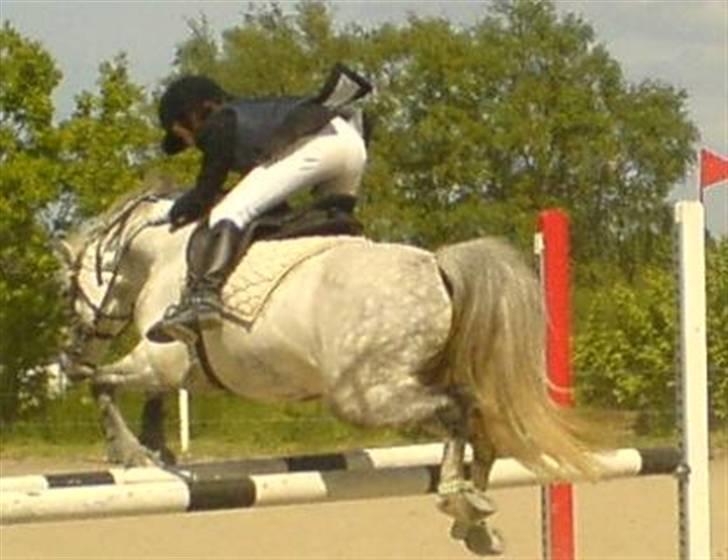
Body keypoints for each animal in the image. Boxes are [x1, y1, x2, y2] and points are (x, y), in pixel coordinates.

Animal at [56, 184, 605, 555]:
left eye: (67, 288)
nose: (69, 357)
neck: (162, 252)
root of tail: (438, 267)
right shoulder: (179, 372)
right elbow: (144, 391)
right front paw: (156, 446)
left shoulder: (162, 359)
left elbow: (105, 383)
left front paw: (130, 453)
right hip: (399, 388)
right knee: (479, 421)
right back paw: (475, 521)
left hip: (365, 397)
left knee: (463, 408)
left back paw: (459, 501)